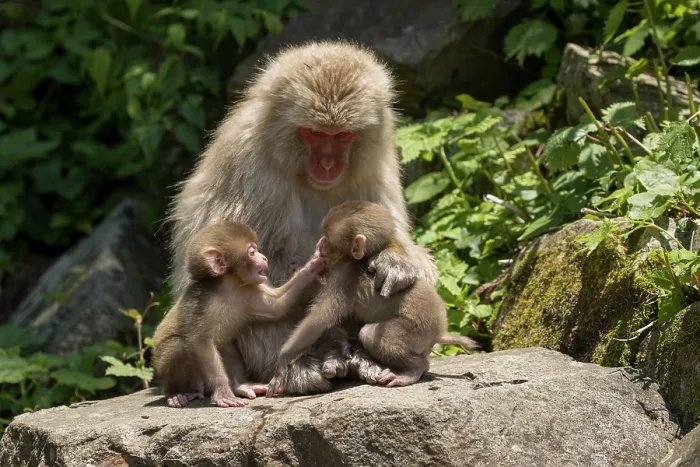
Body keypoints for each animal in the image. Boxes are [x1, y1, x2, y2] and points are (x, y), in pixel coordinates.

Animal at [152, 221, 325, 408]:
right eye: (252, 252)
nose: (264, 258)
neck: (230, 287)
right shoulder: (204, 302)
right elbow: (201, 341)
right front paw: (222, 392)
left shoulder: (247, 292)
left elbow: (277, 306)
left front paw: (313, 262)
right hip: (165, 367)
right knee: (179, 346)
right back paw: (177, 393)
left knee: (226, 347)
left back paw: (238, 386)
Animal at [167, 40, 438, 395]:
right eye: (314, 133)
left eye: (342, 135)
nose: (328, 165)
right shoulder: (250, 166)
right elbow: (250, 261)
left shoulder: (377, 161)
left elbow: (395, 238)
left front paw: (395, 261)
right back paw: (307, 365)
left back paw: (370, 358)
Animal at [267, 201, 478, 394]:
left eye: (328, 238)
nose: (320, 243)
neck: (354, 260)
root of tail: (440, 330)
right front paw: (303, 268)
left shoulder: (344, 277)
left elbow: (320, 318)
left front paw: (284, 358)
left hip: (416, 329)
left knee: (370, 335)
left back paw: (413, 370)